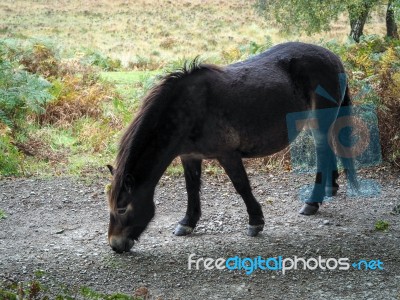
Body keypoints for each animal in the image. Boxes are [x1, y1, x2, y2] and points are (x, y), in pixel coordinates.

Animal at [105, 41, 356, 253]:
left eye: (122, 208)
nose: (115, 245)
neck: (188, 110)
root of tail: (332, 57)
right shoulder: (189, 157)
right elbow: (191, 189)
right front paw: (187, 222)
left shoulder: (227, 155)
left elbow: (241, 185)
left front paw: (255, 222)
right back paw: (329, 188)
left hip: (320, 123)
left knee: (323, 154)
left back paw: (312, 202)